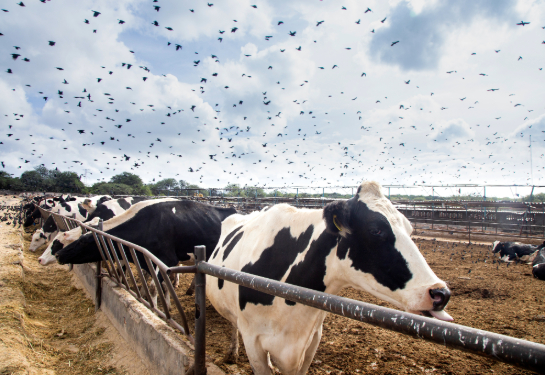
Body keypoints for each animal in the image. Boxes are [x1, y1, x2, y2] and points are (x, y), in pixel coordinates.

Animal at [52, 198, 236, 306]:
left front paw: (156, 310)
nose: (59, 255)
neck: (147, 224)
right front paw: (167, 304)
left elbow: (154, 288)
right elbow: (164, 286)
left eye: (83, 241)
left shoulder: (166, 260)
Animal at [206, 181, 452, 374]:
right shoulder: (254, 342)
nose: (440, 293)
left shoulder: (311, 341)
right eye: (376, 230)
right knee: (233, 322)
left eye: (410, 229)